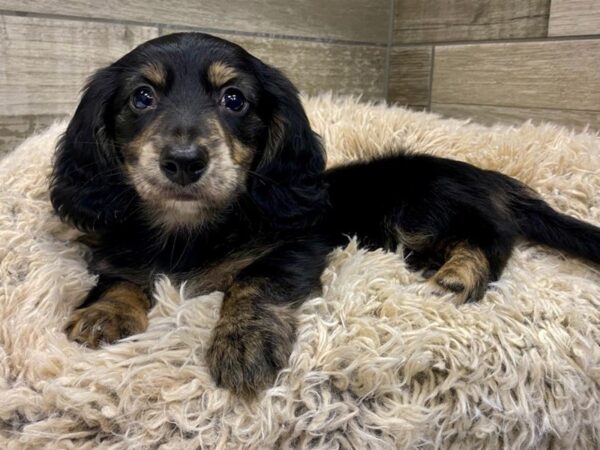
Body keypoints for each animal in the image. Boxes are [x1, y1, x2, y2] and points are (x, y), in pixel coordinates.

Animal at [50, 32, 600, 398]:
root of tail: (493, 178)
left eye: (234, 99)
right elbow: (120, 277)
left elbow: (254, 282)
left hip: (420, 208)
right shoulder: (120, 251)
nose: (184, 162)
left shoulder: (295, 246)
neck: (189, 226)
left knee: (495, 238)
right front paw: (103, 313)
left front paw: (244, 343)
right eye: (142, 97)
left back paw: (459, 274)